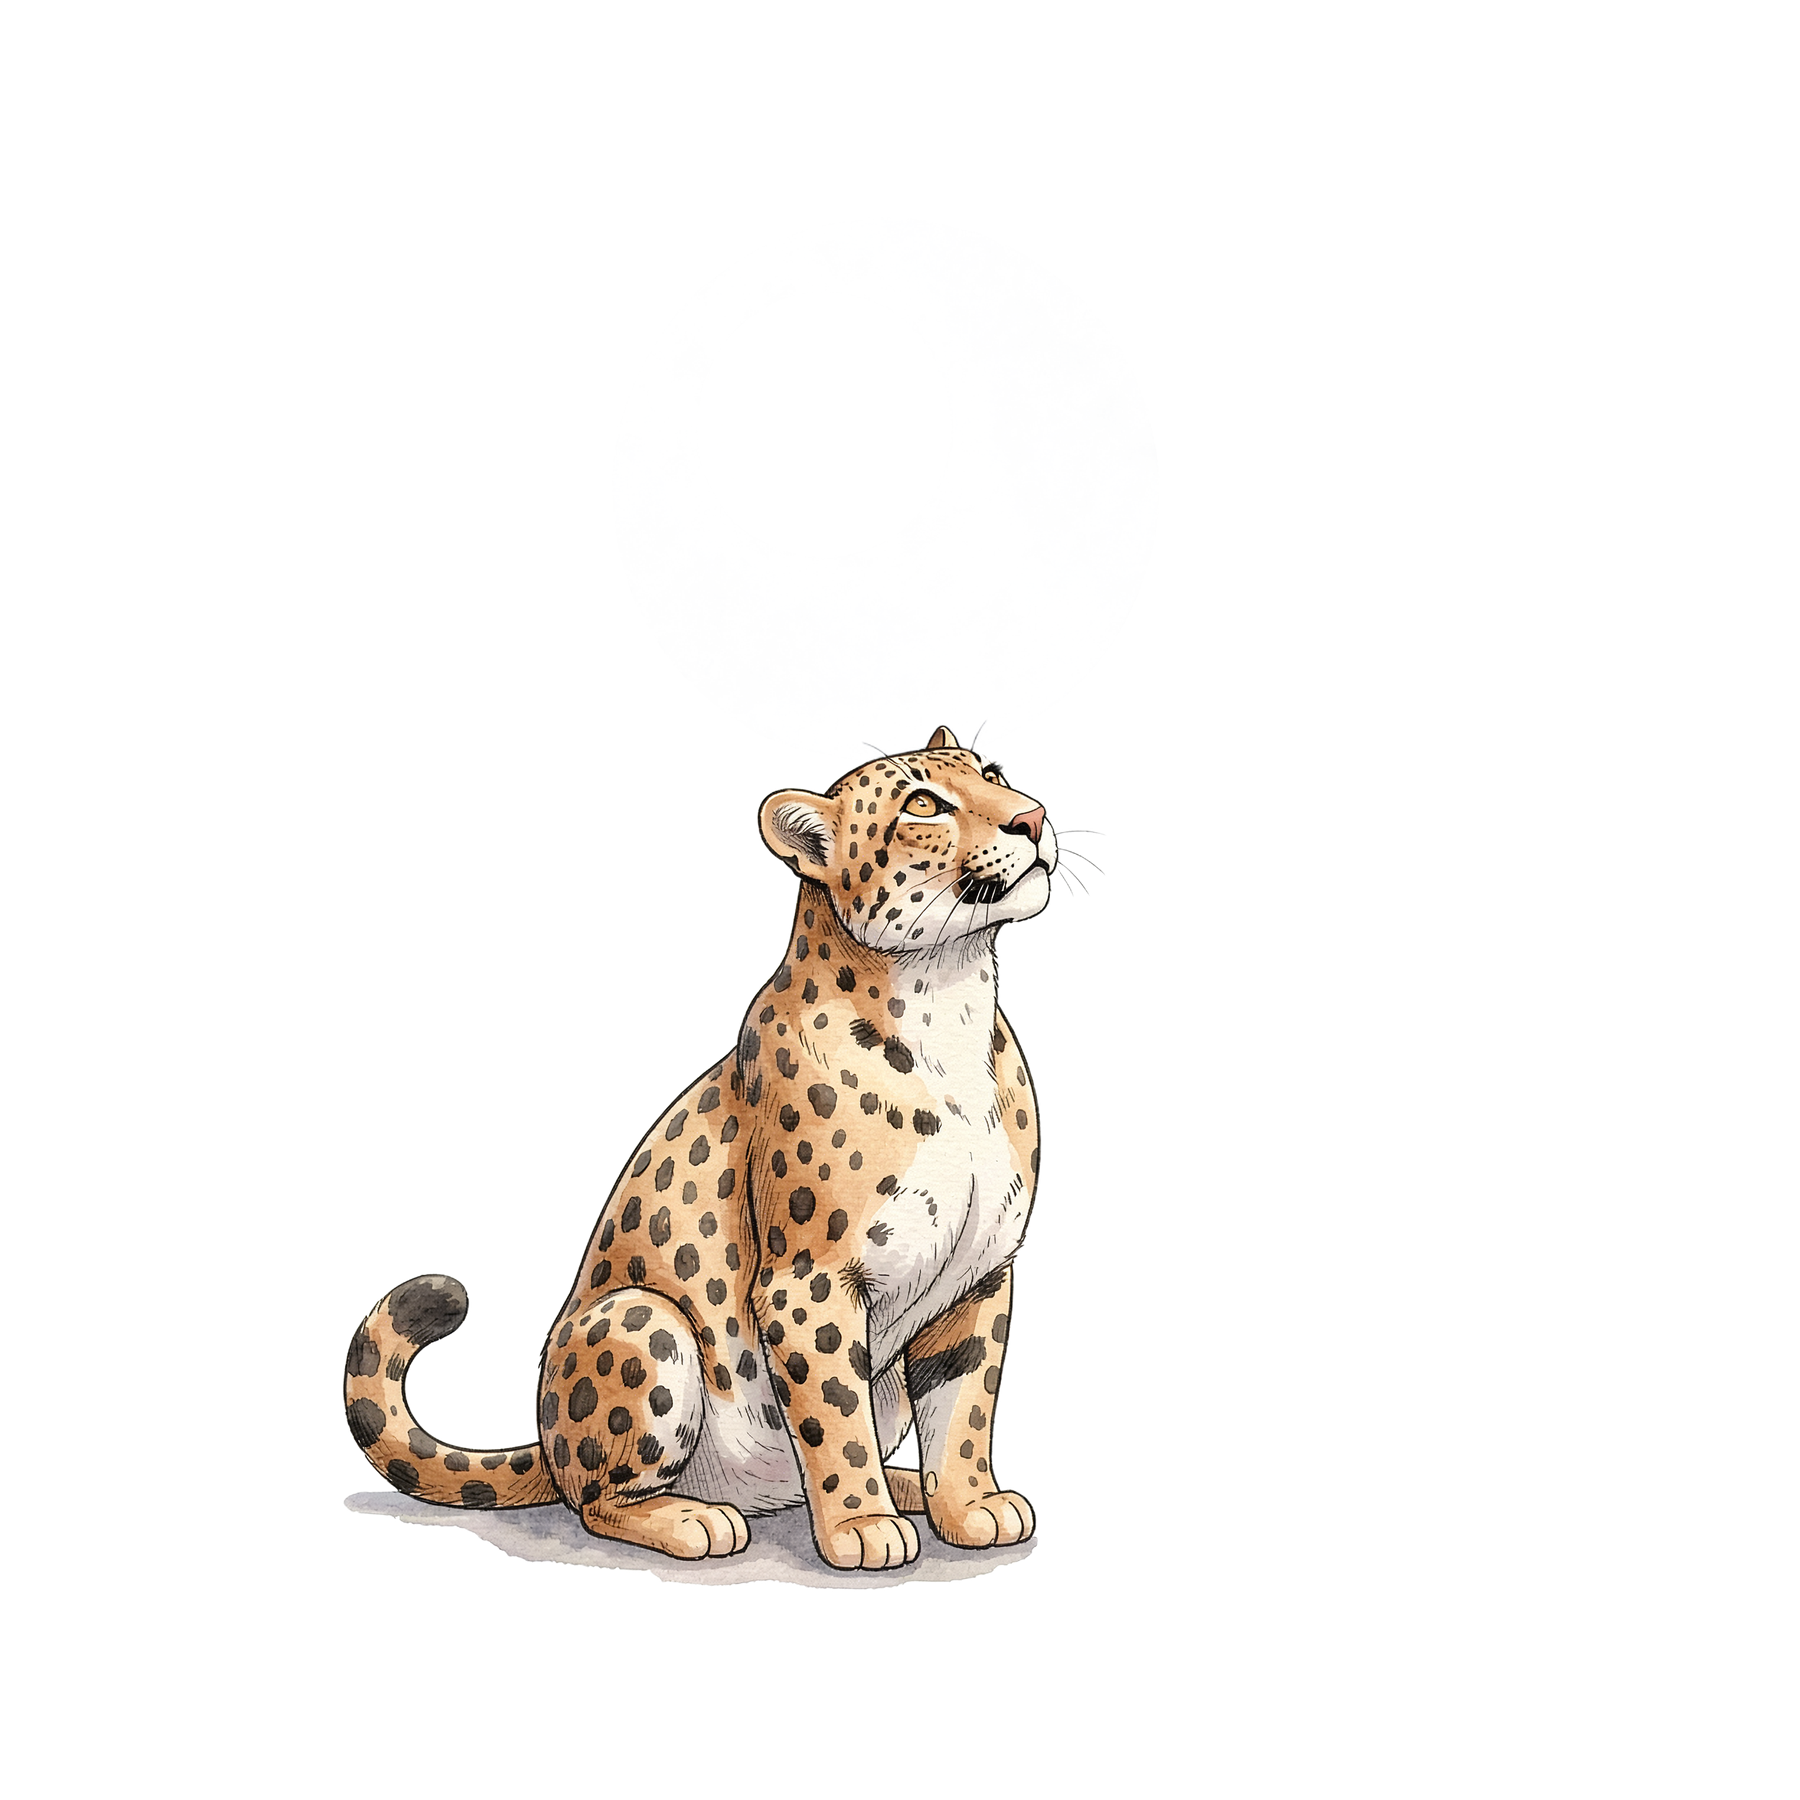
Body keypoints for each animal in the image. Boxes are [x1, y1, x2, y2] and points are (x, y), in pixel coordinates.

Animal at [344, 727, 1058, 1571]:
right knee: (596, 1497)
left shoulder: (980, 1275)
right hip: (642, 1319)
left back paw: (902, 1485)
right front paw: (860, 1527)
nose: (1033, 818)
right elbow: (835, 1417)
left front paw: (969, 1504)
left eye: (996, 773)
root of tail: (544, 1442)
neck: (948, 998)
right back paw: (695, 1518)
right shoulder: (809, 1283)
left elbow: (964, 1408)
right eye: (923, 804)